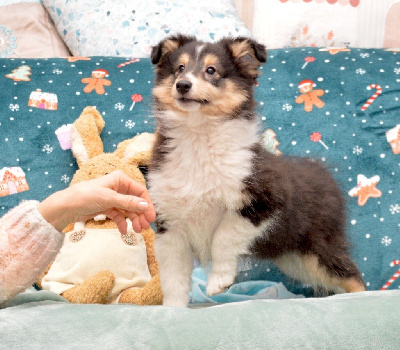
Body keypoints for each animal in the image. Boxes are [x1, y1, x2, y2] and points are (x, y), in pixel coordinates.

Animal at [148, 33, 366, 306]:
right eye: (179, 68)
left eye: (211, 70)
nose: (182, 85)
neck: (198, 135)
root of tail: (324, 173)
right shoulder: (171, 226)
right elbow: (173, 279)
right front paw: (172, 310)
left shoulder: (264, 202)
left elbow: (222, 237)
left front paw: (218, 282)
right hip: (294, 258)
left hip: (318, 247)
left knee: (351, 275)